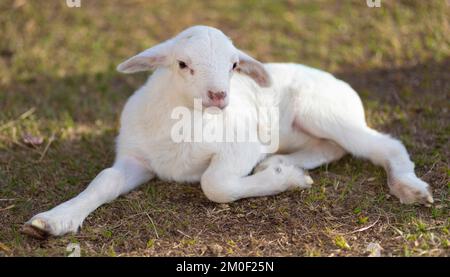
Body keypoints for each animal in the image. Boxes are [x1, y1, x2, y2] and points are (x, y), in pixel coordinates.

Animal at [22, 25, 432, 237]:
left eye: (235, 65)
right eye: (182, 64)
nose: (219, 95)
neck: (186, 121)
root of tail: (340, 82)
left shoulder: (244, 145)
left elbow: (215, 184)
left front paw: (284, 182)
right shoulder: (136, 158)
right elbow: (104, 180)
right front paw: (53, 220)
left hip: (324, 111)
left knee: (384, 146)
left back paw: (408, 187)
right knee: (332, 149)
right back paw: (284, 164)